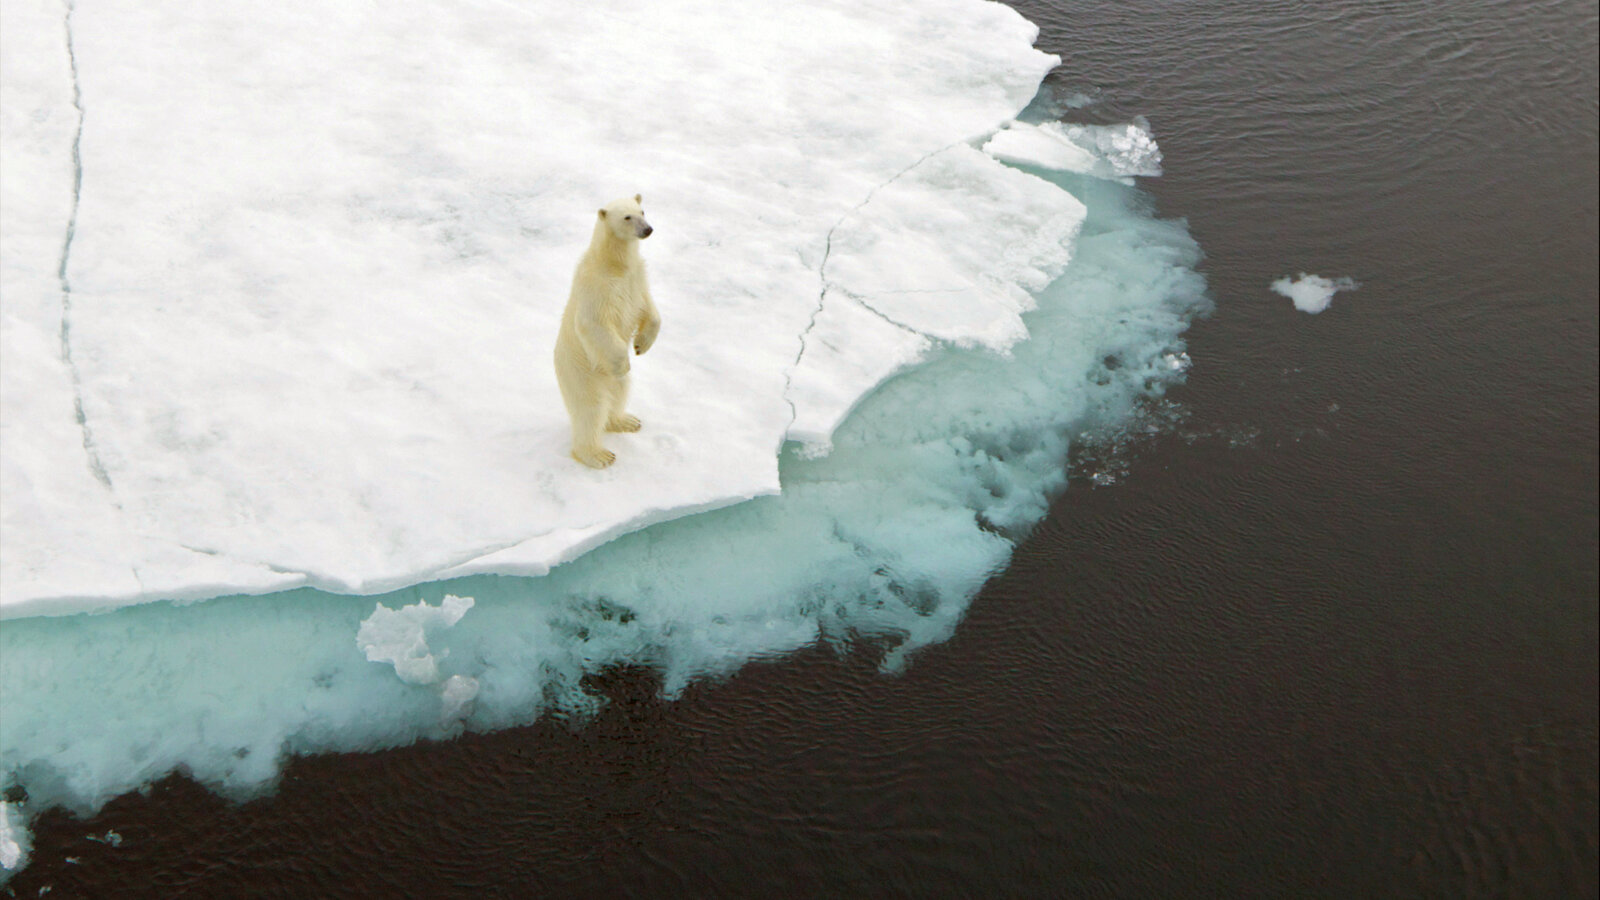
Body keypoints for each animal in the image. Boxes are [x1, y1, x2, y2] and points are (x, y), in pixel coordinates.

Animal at [553, 195, 659, 470]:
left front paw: (642, 344)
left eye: (642, 211)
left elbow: (648, 309)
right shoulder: (596, 286)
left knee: (619, 393)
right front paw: (624, 362)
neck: (614, 264)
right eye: (627, 217)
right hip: (581, 373)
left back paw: (626, 421)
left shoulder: (637, 278)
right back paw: (597, 455)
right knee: (590, 409)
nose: (647, 229)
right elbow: (593, 323)